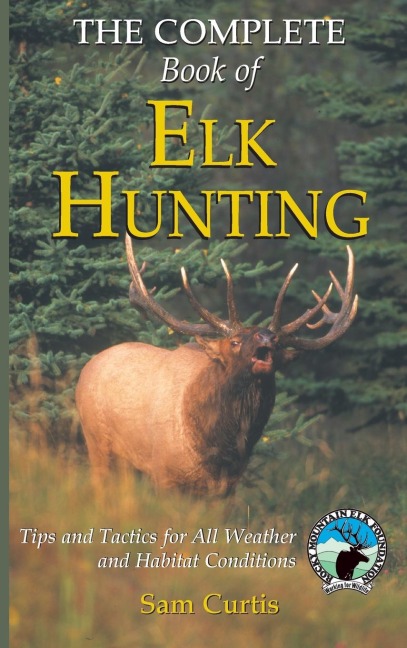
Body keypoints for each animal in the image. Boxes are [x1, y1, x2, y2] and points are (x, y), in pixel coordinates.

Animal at [76, 235, 358, 496]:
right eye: (234, 341)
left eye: (277, 344)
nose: (267, 337)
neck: (220, 450)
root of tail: (86, 368)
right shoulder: (164, 475)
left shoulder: (226, 489)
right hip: (97, 444)